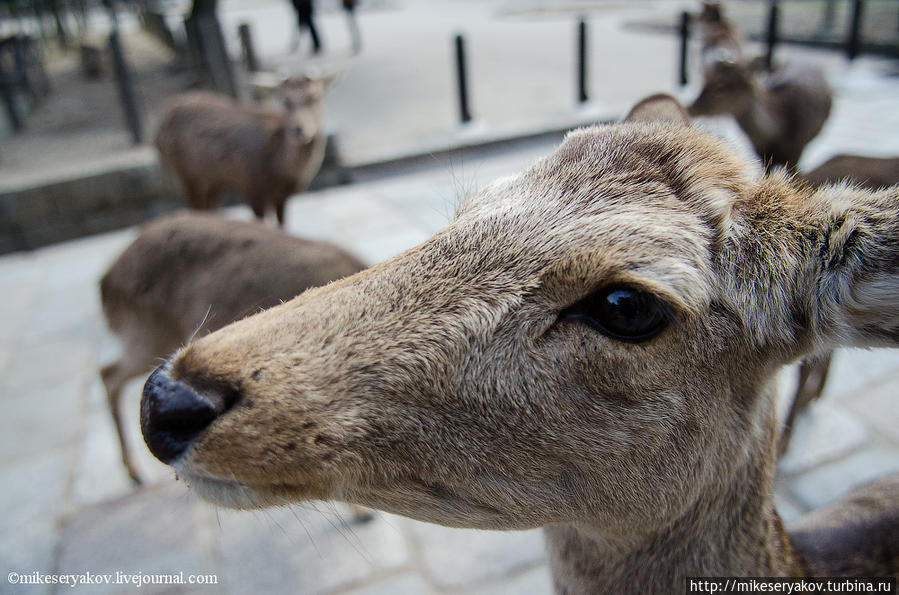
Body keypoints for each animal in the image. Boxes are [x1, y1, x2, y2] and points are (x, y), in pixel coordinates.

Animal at [155, 77, 330, 228]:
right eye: (285, 101)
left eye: (314, 97)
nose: (299, 129)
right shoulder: (251, 188)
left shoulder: (283, 196)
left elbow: (282, 226)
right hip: (184, 173)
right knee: (195, 206)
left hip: (212, 180)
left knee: (208, 207)